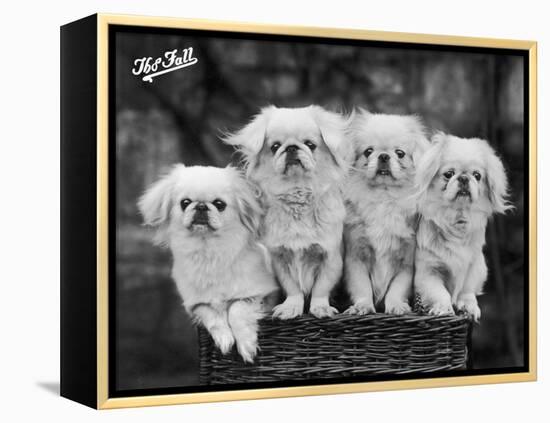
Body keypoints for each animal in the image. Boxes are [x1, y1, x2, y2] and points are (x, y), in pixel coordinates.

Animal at [138, 164, 280, 362]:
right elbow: (211, 315)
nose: (201, 206)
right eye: (185, 202)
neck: (208, 251)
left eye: (219, 204)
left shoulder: (262, 294)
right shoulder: (195, 304)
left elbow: (236, 310)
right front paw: (224, 339)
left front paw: (246, 345)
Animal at [223, 104, 350, 320]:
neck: (297, 192)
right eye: (275, 147)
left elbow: (321, 288)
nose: (291, 148)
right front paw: (291, 308)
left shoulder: (330, 258)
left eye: (310, 144)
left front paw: (320, 308)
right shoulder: (280, 258)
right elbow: (293, 288)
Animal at [344, 111, 432, 316]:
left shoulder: (406, 263)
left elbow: (396, 288)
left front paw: (396, 306)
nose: (383, 156)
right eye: (368, 151)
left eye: (399, 153)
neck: (384, 198)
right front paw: (363, 307)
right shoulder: (355, 259)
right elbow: (362, 287)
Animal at [416, 134, 516, 320]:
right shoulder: (427, 271)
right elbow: (439, 292)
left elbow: (466, 290)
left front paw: (468, 307)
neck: (457, 217)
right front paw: (443, 309)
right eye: (448, 174)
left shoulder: (473, 265)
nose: (463, 177)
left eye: (477, 175)